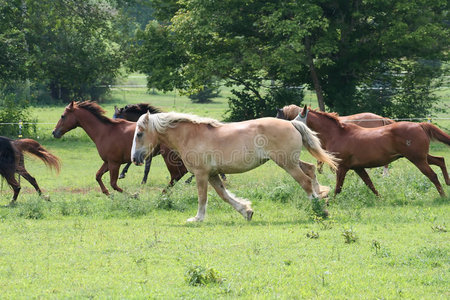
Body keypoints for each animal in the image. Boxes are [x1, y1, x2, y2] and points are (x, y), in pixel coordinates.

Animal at [51, 101, 187, 195]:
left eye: (63, 116)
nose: (54, 132)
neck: (104, 131)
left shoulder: (114, 163)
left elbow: (114, 183)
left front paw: (133, 195)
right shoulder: (108, 162)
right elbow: (98, 176)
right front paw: (107, 193)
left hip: (169, 156)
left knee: (177, 174)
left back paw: (163, 194)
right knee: (182, 172)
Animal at [130, 111, 338, 221]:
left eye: (139, 134)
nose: (134, 158)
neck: (190, 136)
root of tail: (293, 123)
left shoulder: (201, 174)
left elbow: (202, 197)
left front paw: (197, 218)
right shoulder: (213, 174)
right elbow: (224, 195)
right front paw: (247, 211)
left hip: (287, 163)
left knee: (305, 182)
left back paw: (320, 210)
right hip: (291, 161)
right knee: (310, 170)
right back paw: (322, 198)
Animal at [294, 105, 448, 197]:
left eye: (297, 118)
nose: (291, 127)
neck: (338, 134)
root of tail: (420, 125)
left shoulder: (342, 167)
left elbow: (338, 188)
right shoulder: (358, 167)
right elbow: (370, 184)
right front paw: (380, 198)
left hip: (417, 159)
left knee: (433, 175)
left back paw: (443, 195)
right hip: (421, 157)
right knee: (440, 160)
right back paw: (448, 182)